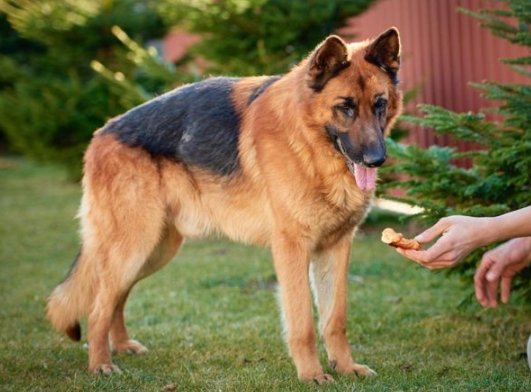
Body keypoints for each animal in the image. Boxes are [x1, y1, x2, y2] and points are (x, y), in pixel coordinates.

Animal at [47, 28, 402, 382]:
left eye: (380, 104)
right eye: (345, 107)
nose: (376, 159)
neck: (306, 140)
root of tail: (101, 133)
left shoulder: (335, 249)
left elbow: (335, 319)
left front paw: (345, 367)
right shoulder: (293, 250)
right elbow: (302, 323)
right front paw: (311, 374)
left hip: (153, 251)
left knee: (116, 298)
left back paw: (120, 346)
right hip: (134, 247)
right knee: (98, 308)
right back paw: (100, 364)